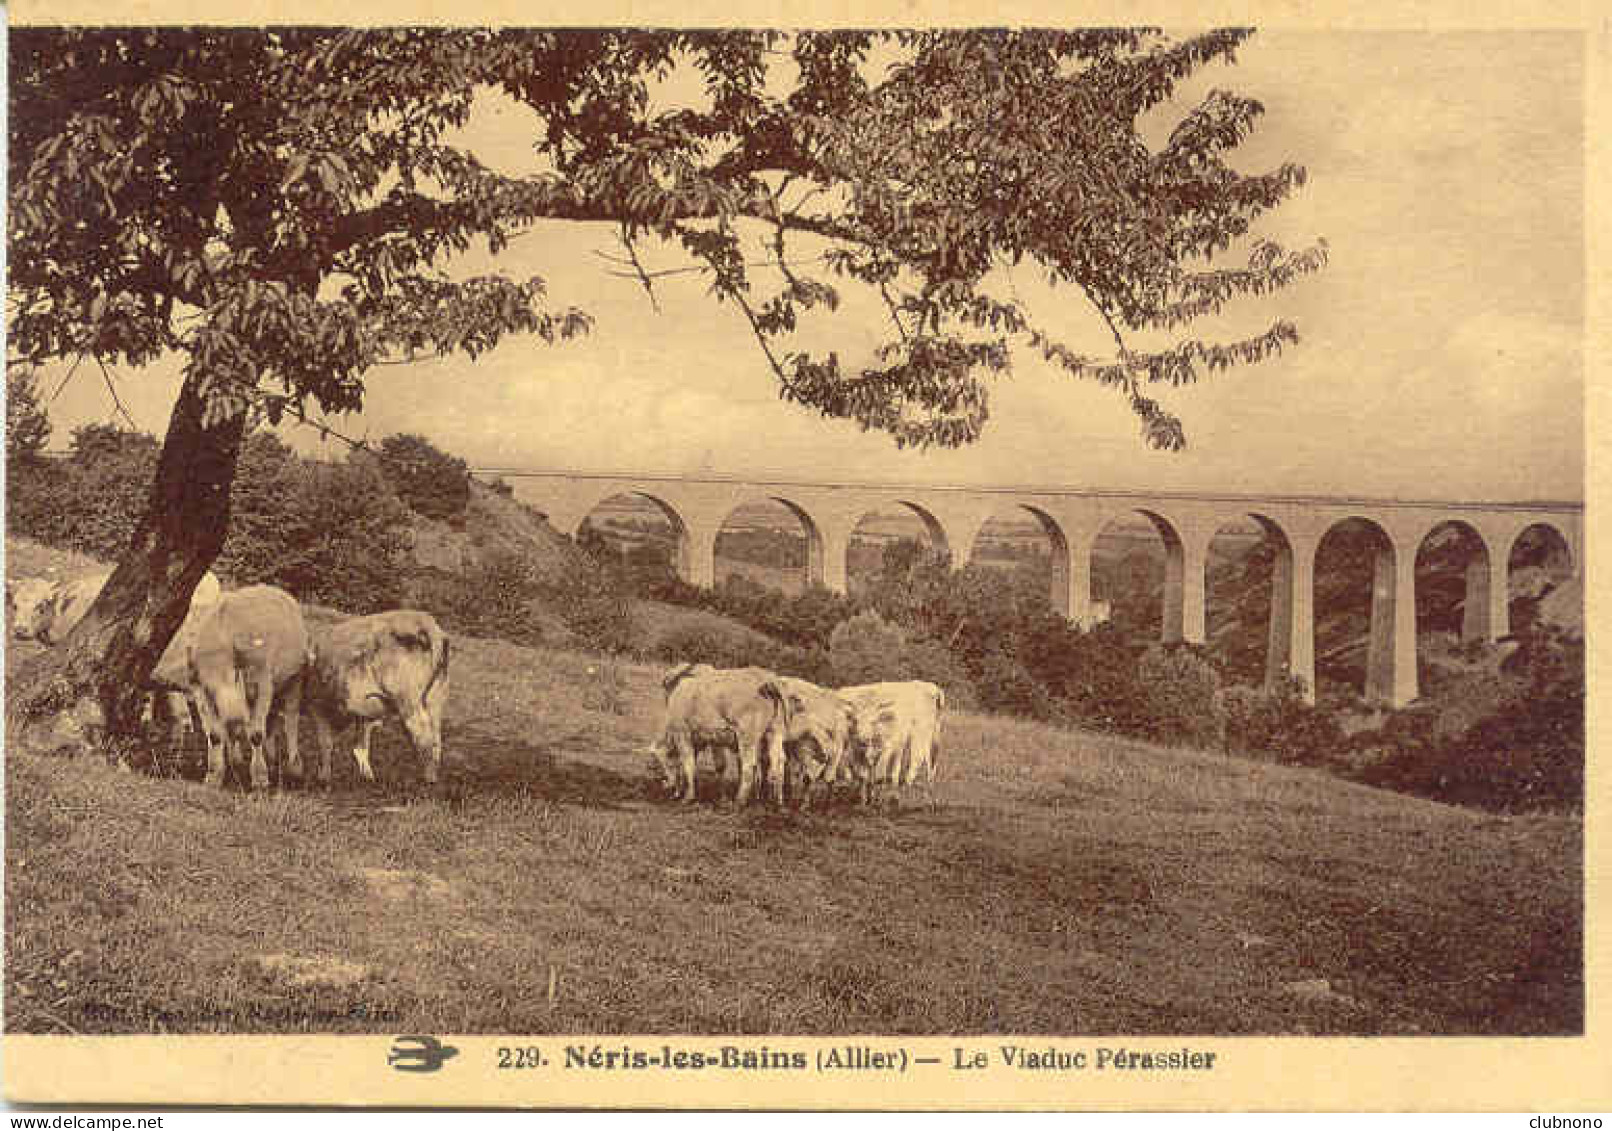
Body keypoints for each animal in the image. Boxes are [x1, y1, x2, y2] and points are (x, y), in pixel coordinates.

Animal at [186, 586, 309, 789]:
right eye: (210, 687)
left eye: (236, 674)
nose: (234, 718)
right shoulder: (201, 691)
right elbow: (215, 735)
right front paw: (214, 775)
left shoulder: (263, 684)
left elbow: (256, 734)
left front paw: (260, 777)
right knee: (272, 719)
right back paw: (268, 757)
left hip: (295, 677)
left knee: (291, 718)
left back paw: (294, 767)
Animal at [303, 612, 451, 789]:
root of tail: (427, 622)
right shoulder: (363, 710)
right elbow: (360, 746)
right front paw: (367, 778)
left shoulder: (317, 703)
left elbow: (325, 742)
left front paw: (323, 780)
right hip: (435, 697)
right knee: (435, 736)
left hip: (408, 699)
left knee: (422, 735)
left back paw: (427, 780)